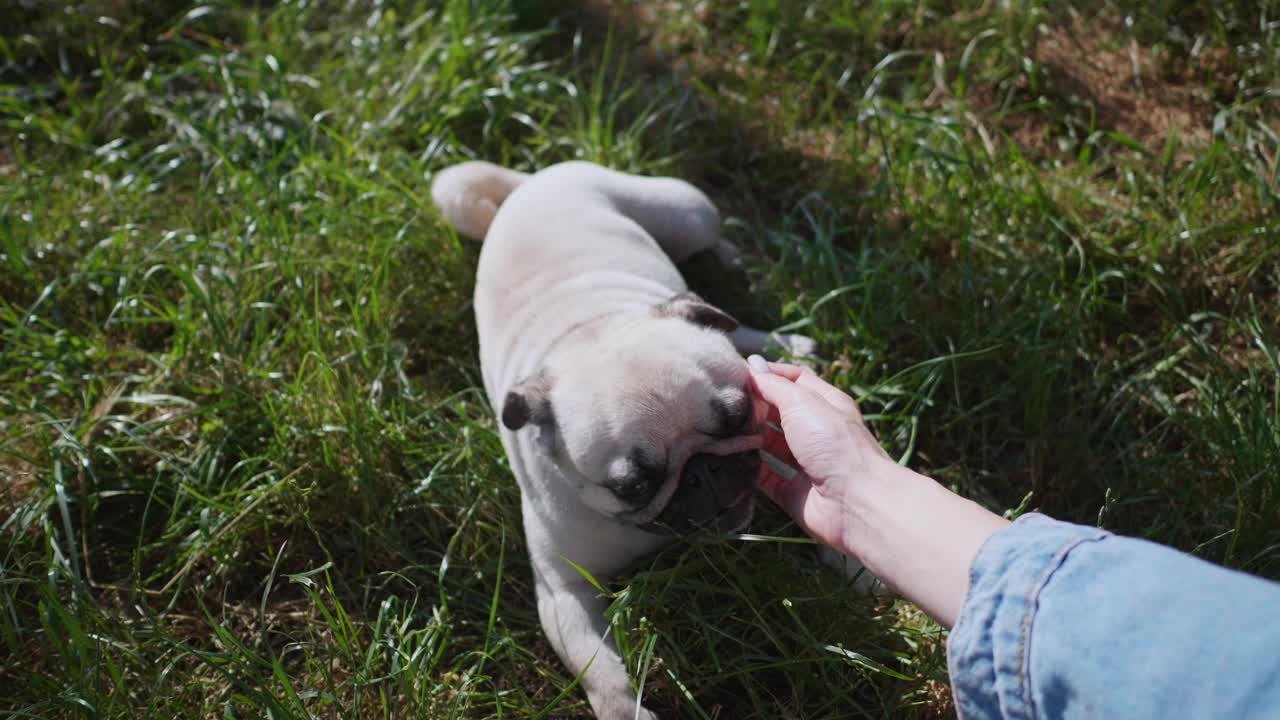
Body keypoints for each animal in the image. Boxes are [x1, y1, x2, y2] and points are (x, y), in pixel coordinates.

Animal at [427, 159, 808, 712]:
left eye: (737, 418)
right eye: (632, 485)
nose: (705, 473)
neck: (585, 331)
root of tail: (530, 184)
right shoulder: (565, 593)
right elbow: (603, 673)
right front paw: (627, 711)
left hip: (689, 213)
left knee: (717, 287)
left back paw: (766, 314)